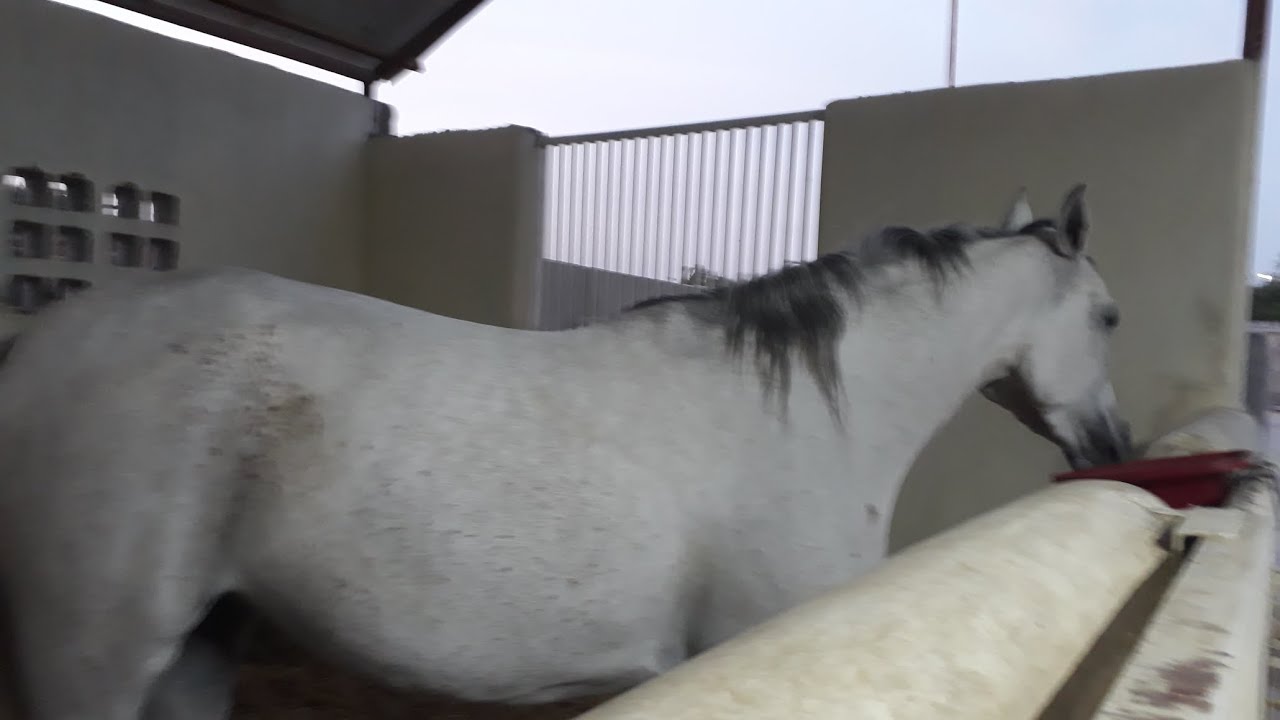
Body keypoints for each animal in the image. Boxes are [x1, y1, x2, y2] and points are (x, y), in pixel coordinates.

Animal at [0, 183, 1131, 719]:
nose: (1113, 444)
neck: (812, 417)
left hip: (198, 650)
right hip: (95, 662)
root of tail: (43, 341)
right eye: (1110, 317)